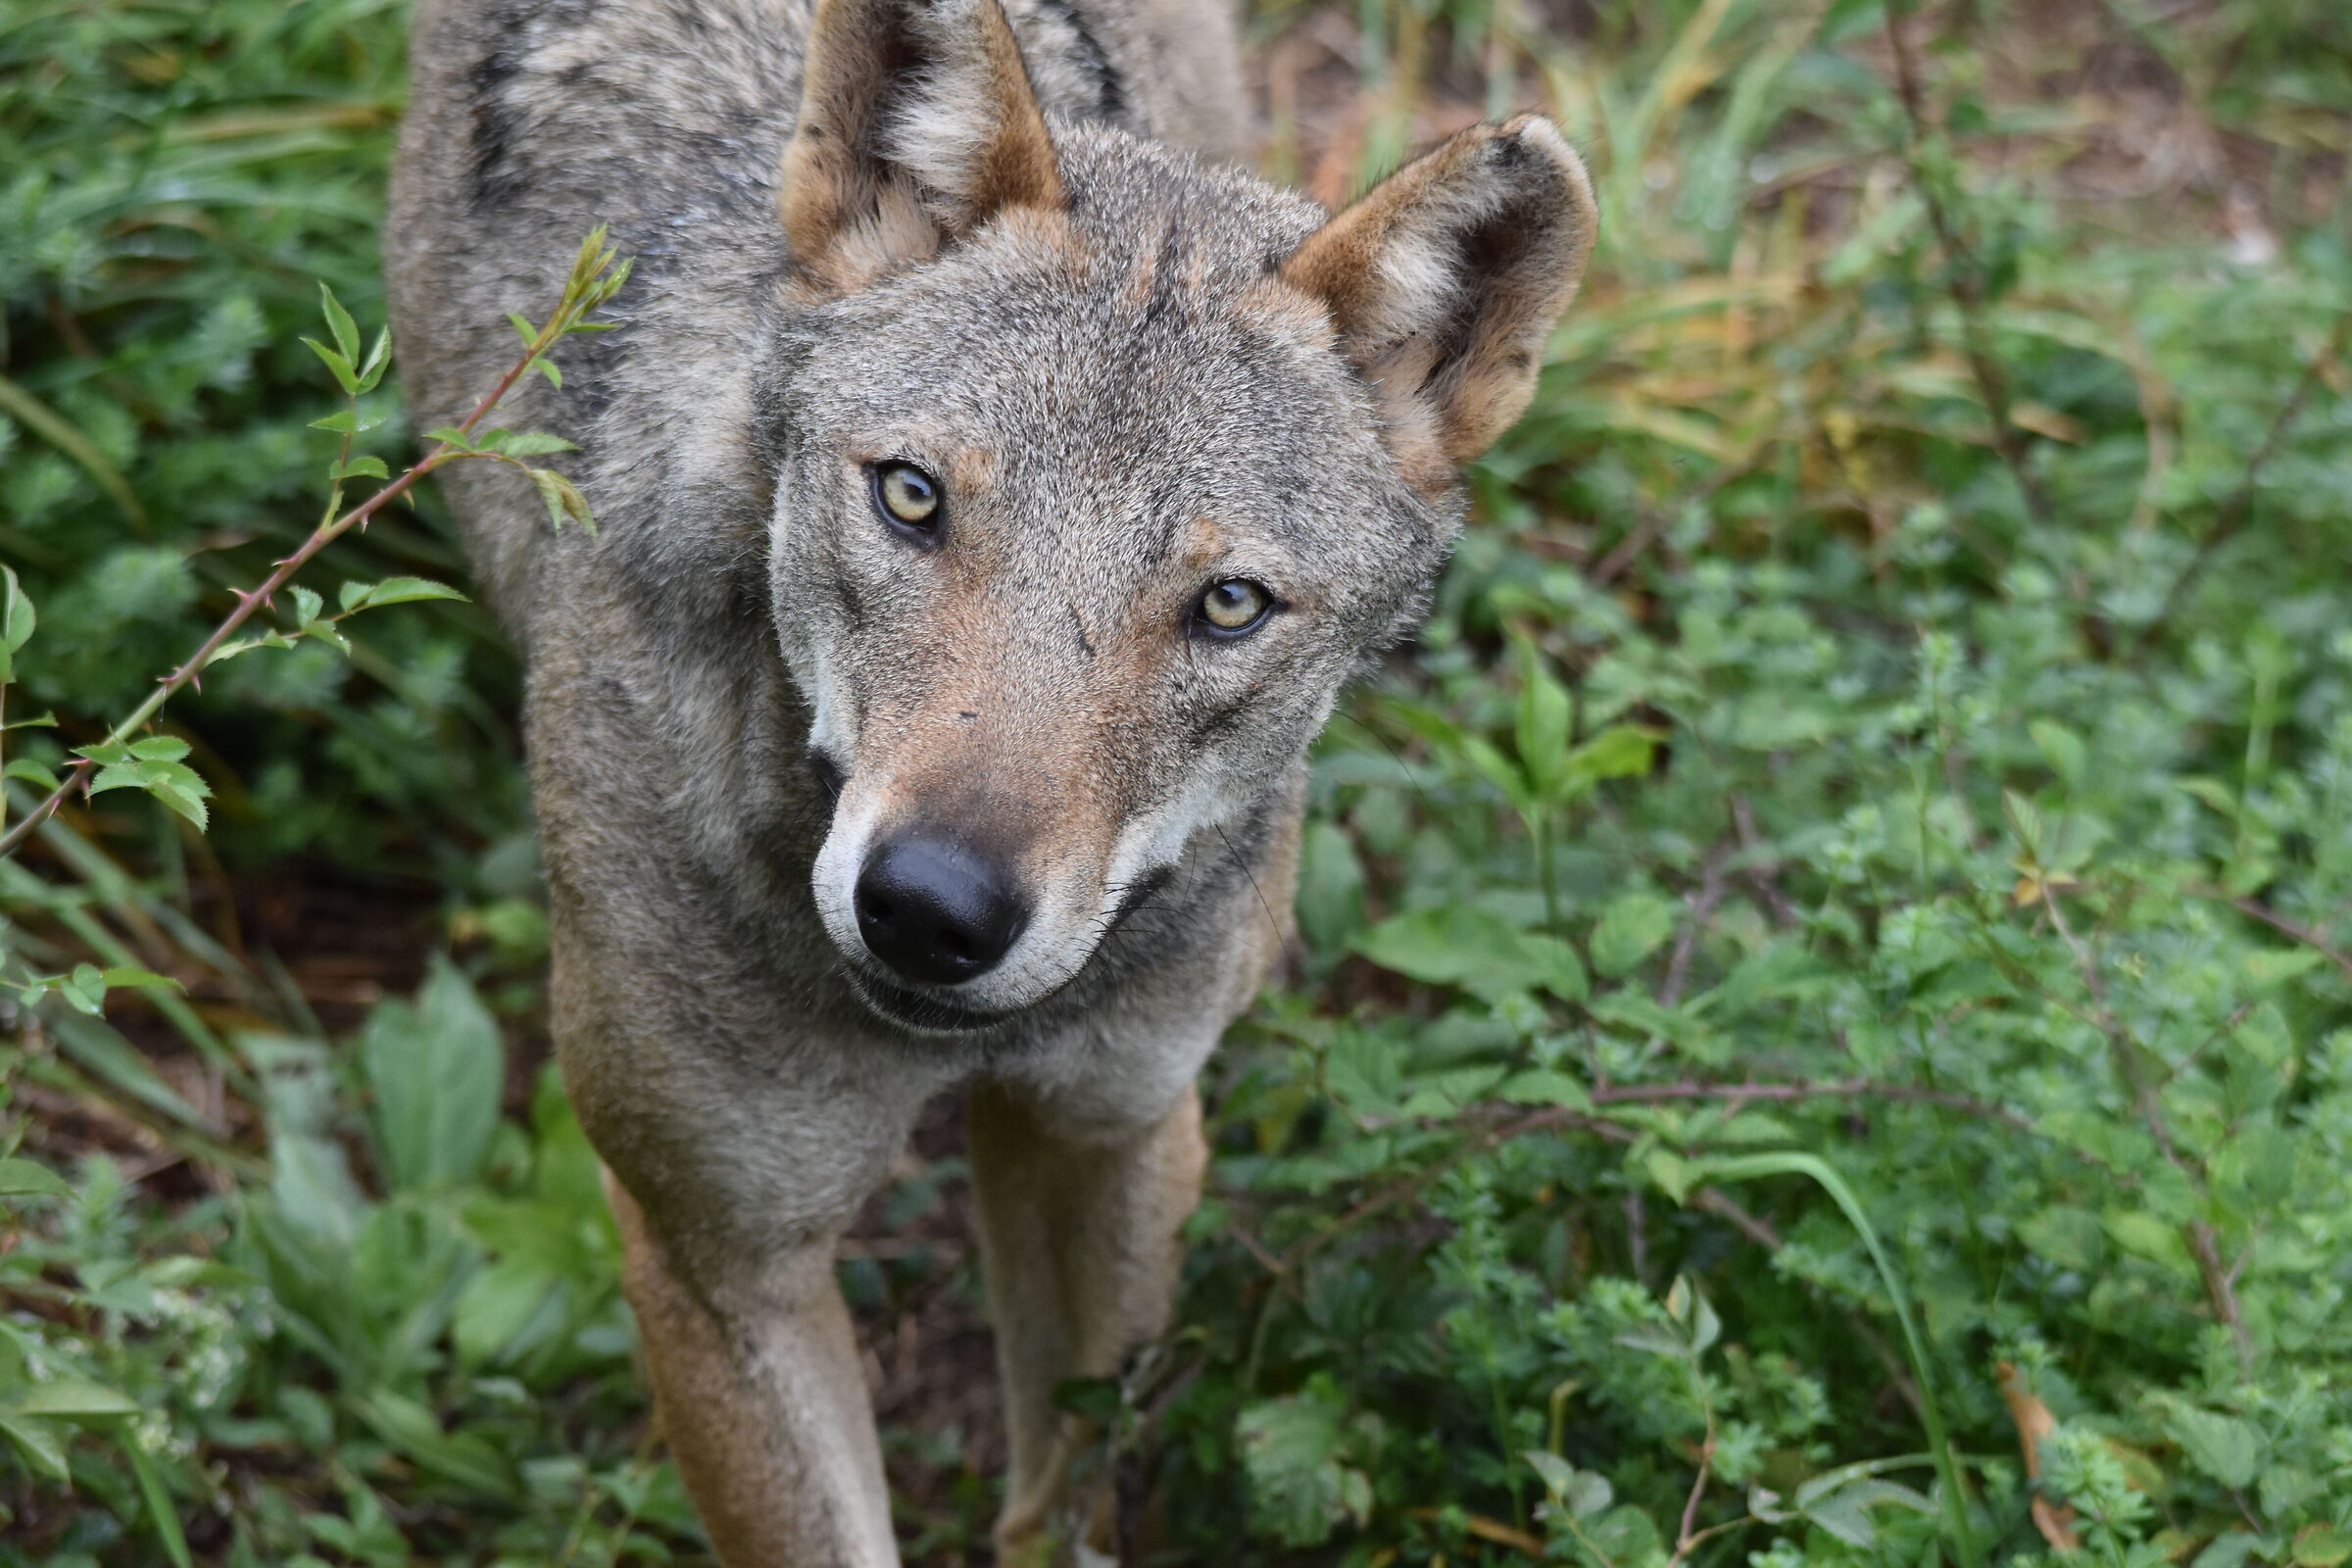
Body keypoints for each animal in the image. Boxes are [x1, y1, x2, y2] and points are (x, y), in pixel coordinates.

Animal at [387, 0, 1594, 1558]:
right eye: (911, 498)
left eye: (1228, 606)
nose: (931, 911)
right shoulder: (718, 1254)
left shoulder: (1114, 1127)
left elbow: (1059, 1497)